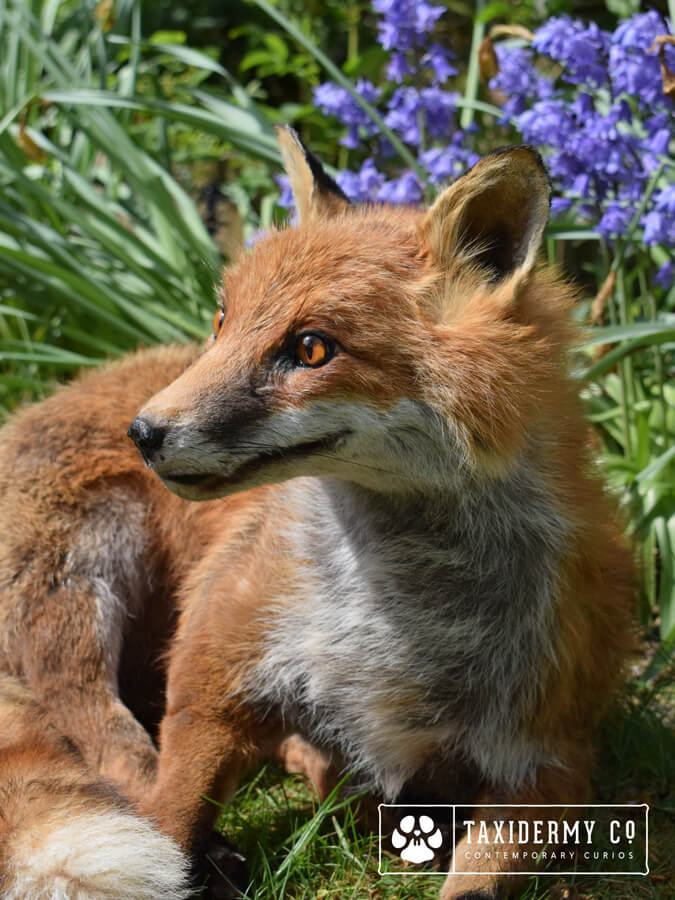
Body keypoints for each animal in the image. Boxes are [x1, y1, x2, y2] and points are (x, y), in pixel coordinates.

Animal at [0, 128, 632, 900]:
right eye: (224, 320)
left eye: (310, 348)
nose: (144, 433)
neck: (396, 628)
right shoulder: (210, 680)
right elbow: (168, 810)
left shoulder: (547, 756)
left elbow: (474, 875)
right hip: (76, 599)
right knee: (101, 739)